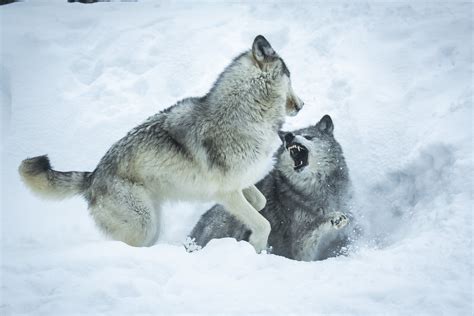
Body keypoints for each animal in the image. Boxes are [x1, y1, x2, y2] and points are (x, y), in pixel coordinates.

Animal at [18, 35, 304, 252]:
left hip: (151, 222)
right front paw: (256, 246)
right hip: (144, 226)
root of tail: (92, 177)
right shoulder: (227, 193)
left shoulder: (239, 184)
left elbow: (260, 203)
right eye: (290, 75)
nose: (302, 105)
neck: (245, 115)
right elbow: (263, 223)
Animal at [187, 115, 350, 260]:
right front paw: (333, 218)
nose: (289, 137)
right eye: (285, 142)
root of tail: (191, 237)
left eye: (308, 137)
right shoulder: (301, 244)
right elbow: (314, 227)